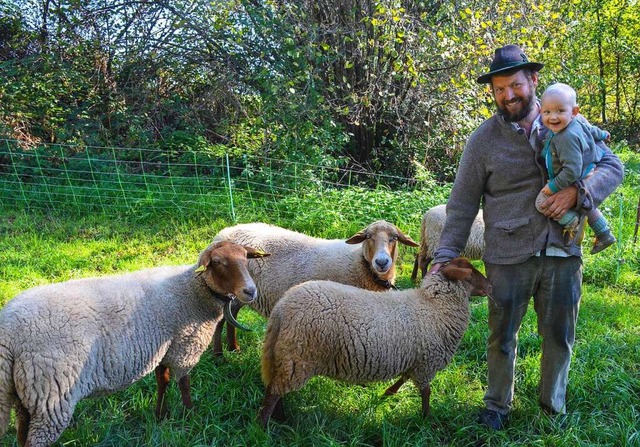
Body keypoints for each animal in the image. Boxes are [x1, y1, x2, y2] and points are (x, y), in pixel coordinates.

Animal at [0, 242, 268, 447]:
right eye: (218, 262)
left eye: (245, 258)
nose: (250, 291)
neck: (192, 289)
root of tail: (9, 331)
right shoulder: (184, 348)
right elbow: (183, 384)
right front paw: (191, 414)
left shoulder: (165, 347)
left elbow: (163, 380)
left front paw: (161, 415)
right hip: (50, 396)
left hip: (26, 395)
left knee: (22, 434)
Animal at [210, 220, 420, 356]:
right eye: (368, 236)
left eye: (394, 238)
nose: (382, 262)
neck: (361, 264)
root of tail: (222, 234)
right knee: (220, 321)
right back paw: (219, 356)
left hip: (243, 293)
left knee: (231, 317)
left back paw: (233, 348)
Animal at [258, 256, 492, 428]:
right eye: (471, 273)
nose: (490, 287)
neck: (435, 305)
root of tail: (282, 308)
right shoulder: (427, 363)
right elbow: (426, 392)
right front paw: (426, 418)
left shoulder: (415, 360)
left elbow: (404, 377)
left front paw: (389, 393)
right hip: (298, 358)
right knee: (273, 393)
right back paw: (264, 425)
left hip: (286, 357)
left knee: (274, 387)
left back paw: (280, 417)